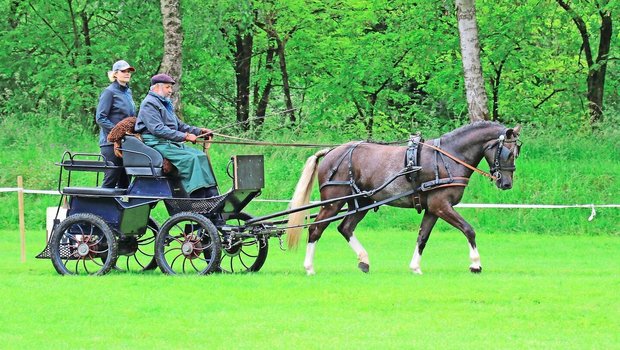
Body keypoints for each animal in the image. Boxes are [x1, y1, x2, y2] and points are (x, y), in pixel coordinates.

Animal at [288, 121, 520, 274]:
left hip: (362, 202)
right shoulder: (441, 205)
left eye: (517, 151)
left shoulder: (433, 209)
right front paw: (475, 264)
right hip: (333, 202)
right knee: (315, 229)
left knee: (345, 228)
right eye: (508, 152)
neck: (447, 158)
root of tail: (331, 152)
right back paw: (309, 267)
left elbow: (422, 237)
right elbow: (468, 230)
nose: (507, 184)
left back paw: (364, 261)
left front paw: (415, 267)